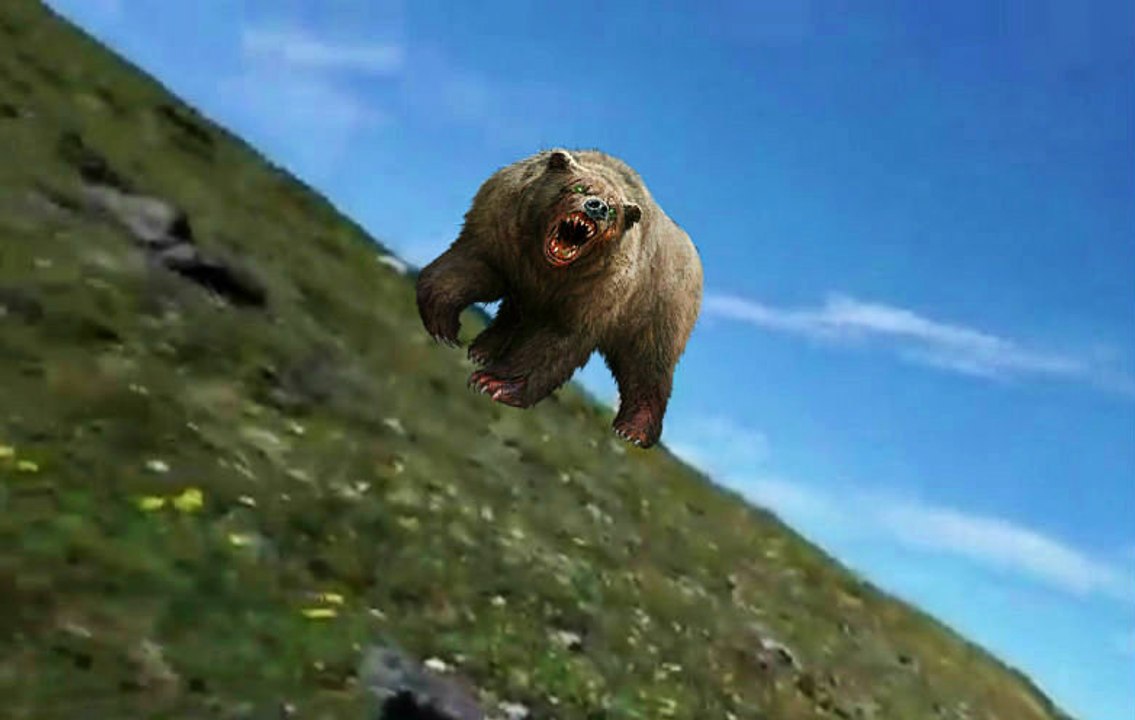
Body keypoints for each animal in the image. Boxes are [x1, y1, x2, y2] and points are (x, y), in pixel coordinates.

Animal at [415, 148, 703, 449]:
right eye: (579, 187)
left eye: (613, 209)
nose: (597, 207)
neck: (545, 263)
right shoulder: (501, 231)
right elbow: (469, 268)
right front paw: (443, 325)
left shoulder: (596, 289)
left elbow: (557, 338)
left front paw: (494, 383)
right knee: (513, 313)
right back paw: (483, 349)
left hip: (660, 306)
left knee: (648, 362)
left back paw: (633, 429)